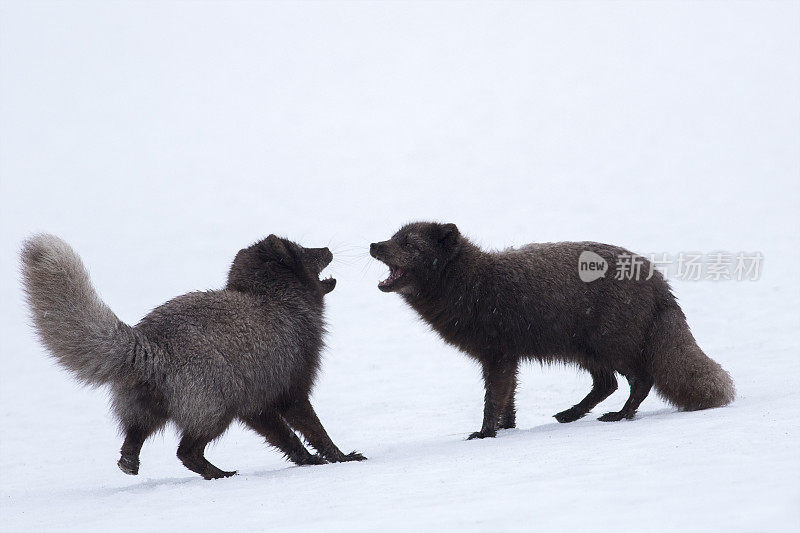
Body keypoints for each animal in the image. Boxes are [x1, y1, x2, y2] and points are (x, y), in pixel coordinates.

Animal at [21, 233, 366, 478]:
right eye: (303, 250)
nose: (328, 248)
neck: (279, 302)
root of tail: (150, 345)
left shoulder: (254, 405)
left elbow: (286, 439)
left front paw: (308, 461)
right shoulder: (288, 390)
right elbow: (313, 430)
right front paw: (341, 458)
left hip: (146, 406)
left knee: (133, 439)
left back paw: (130, 463)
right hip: (215, 408)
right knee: (185, 452)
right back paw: (221, 474)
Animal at [372, 222, 736, 438]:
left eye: (408, 243)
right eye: (393, 236)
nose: (374, 244)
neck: (472, 284)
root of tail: (659, 281)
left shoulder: (497, 355)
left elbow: (493, 400)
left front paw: (485, 435)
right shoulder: (509, 359)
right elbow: (508, 400)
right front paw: (507, 430)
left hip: (609, 345)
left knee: (639, 381)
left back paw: (619, 416)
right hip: (585, 350)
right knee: (607, 383)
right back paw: (570, 415)